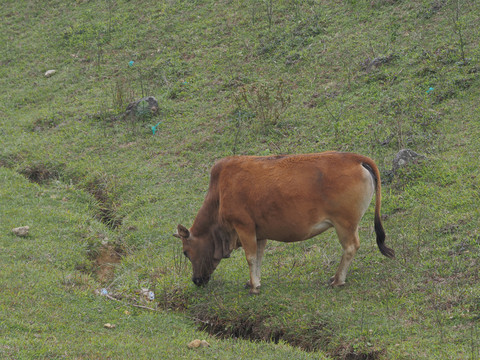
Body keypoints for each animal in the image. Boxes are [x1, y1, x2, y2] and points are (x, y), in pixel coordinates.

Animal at [174, 150, 396, 294]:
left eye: (185, 252)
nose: (196, 280)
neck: (219, 193)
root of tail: (353, 157)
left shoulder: (243, 226)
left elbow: (250, 257)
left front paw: (253, 287)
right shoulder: (259, 233)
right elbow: (259, 256)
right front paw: (255, 282)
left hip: (344, 224)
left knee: (350, 247)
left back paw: (338, 280)